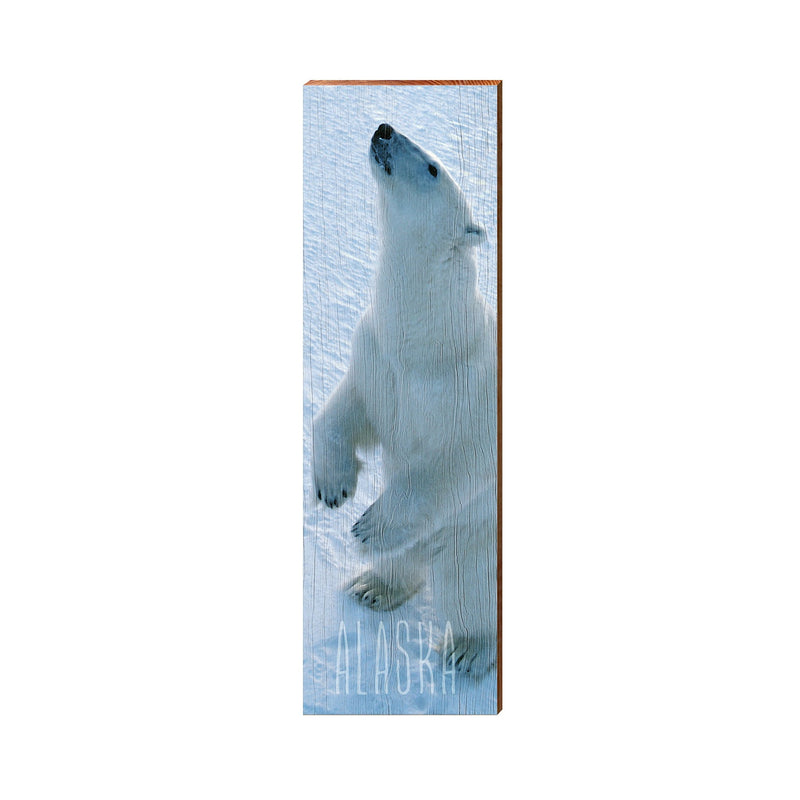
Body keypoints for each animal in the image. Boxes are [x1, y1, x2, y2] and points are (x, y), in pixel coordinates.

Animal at [312, 123, 497, 678]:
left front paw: (370, 524)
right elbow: (345, 409)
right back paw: (371, 586)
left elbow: (457, 460)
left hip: (475, 538)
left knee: (469, 587)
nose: (384, 129)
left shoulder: (471, 385)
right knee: (404, 562)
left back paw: (468, 648)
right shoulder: (379, 354)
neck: (426, 344)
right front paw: (334, 488)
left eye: (434, 167)